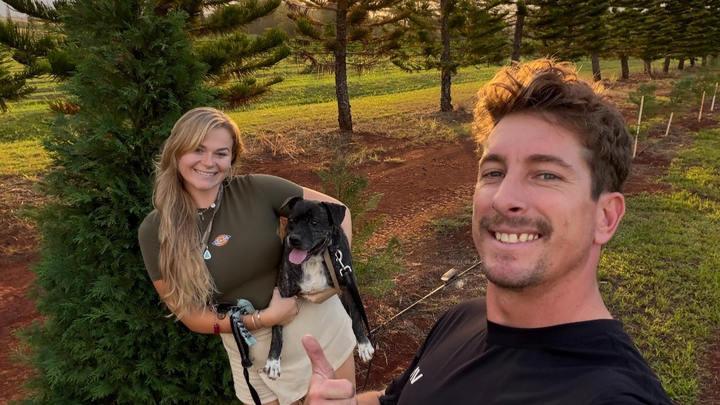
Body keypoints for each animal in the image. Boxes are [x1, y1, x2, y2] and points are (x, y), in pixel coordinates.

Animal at [263, 197, 374, 380]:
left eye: (314, 223)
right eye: (291, 220)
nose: (293, 239)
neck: (313, 259)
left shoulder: (349, 285)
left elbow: (357, 317)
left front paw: (364, 344)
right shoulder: (283, 294)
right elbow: (277, 330)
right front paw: (273, 360)